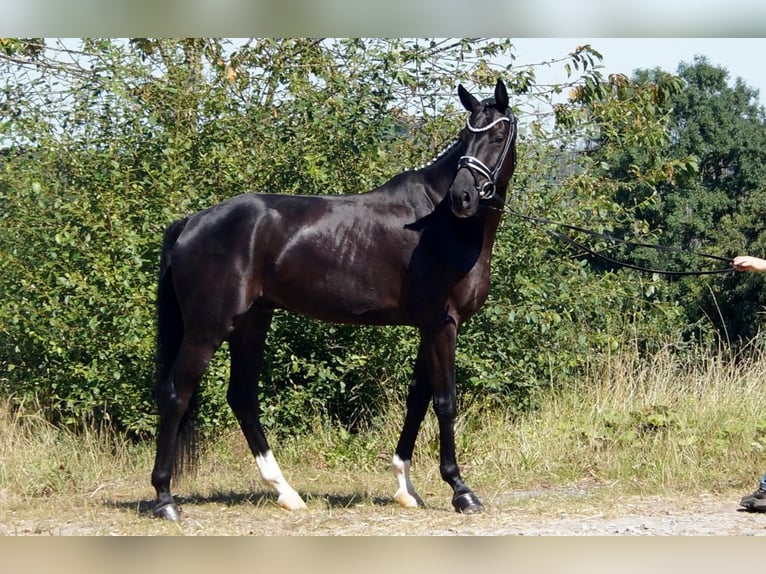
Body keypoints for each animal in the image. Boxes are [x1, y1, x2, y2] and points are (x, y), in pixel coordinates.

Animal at [150, 79, 517, 520]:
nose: (463, 196)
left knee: (242, 397)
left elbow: (417, 399)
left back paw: (286, 491)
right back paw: (165, 499)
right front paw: (461, 490)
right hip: (208, 328)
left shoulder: (429, 327)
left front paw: (405, 487)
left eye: (496, 135)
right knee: (176, 394)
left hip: (252, 322)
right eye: (466, 135)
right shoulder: (442, 324)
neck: (440, 221)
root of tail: (191, 222)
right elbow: (445, 401)